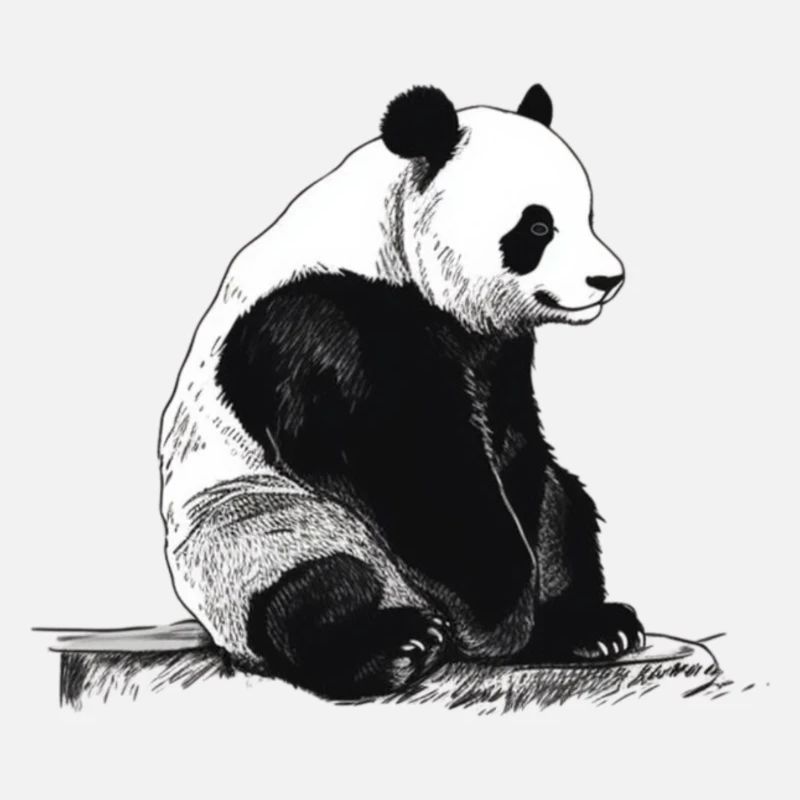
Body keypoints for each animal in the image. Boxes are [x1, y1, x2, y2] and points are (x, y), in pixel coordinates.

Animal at [159, 83, 644, 700]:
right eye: (537, 227)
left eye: (587, 216)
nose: (608, 280)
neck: (387, 247)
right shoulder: (321, 321)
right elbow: (417, 465)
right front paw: (502, 620)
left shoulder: (495, 347)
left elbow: (511, 447)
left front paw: (542, 621)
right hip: (257, 526)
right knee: (316, 588)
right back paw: (396, 647)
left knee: (567, 507)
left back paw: (593, 627)